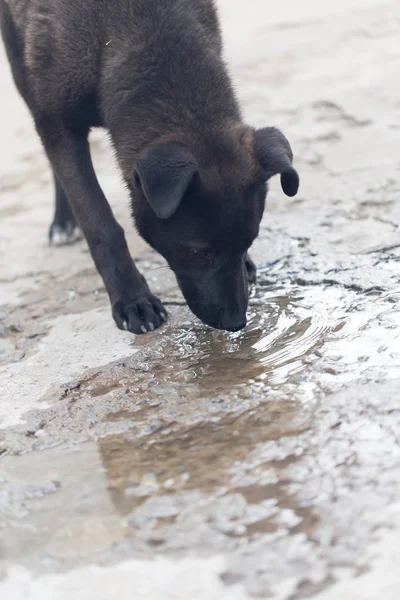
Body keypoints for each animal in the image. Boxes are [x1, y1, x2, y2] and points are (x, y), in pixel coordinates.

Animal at [0, 0, 300, 336]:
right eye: (199, 251)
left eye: (249, 241)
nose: (236, 323)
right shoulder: (57, 122)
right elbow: (100, 224)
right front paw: (133, 300)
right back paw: (63, 223)